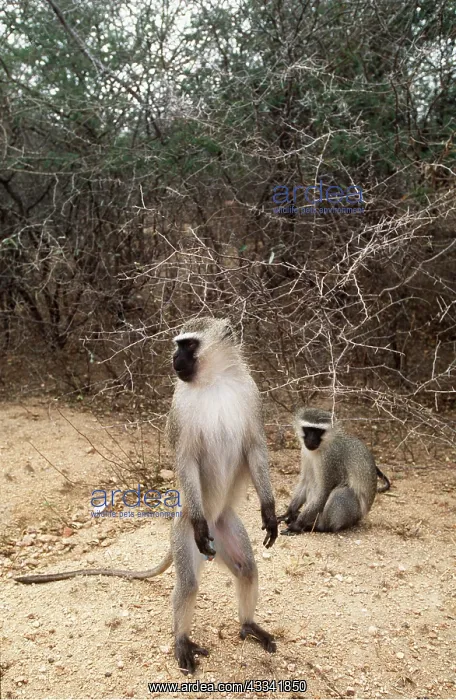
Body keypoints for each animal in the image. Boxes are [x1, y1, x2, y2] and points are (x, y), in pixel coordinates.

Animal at [15, 317, 278, 675]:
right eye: (178, 345)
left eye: (189, 345)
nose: (174, 359)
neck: (215, 383)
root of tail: (213, 520)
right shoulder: (180, 410)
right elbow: (186, 460)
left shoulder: (250, 393)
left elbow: (255, 449)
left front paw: (270, 512)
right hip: (184, 533)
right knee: (188, 584)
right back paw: (182, 641)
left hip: (225, 527)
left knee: (246, 569)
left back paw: (249, 625)